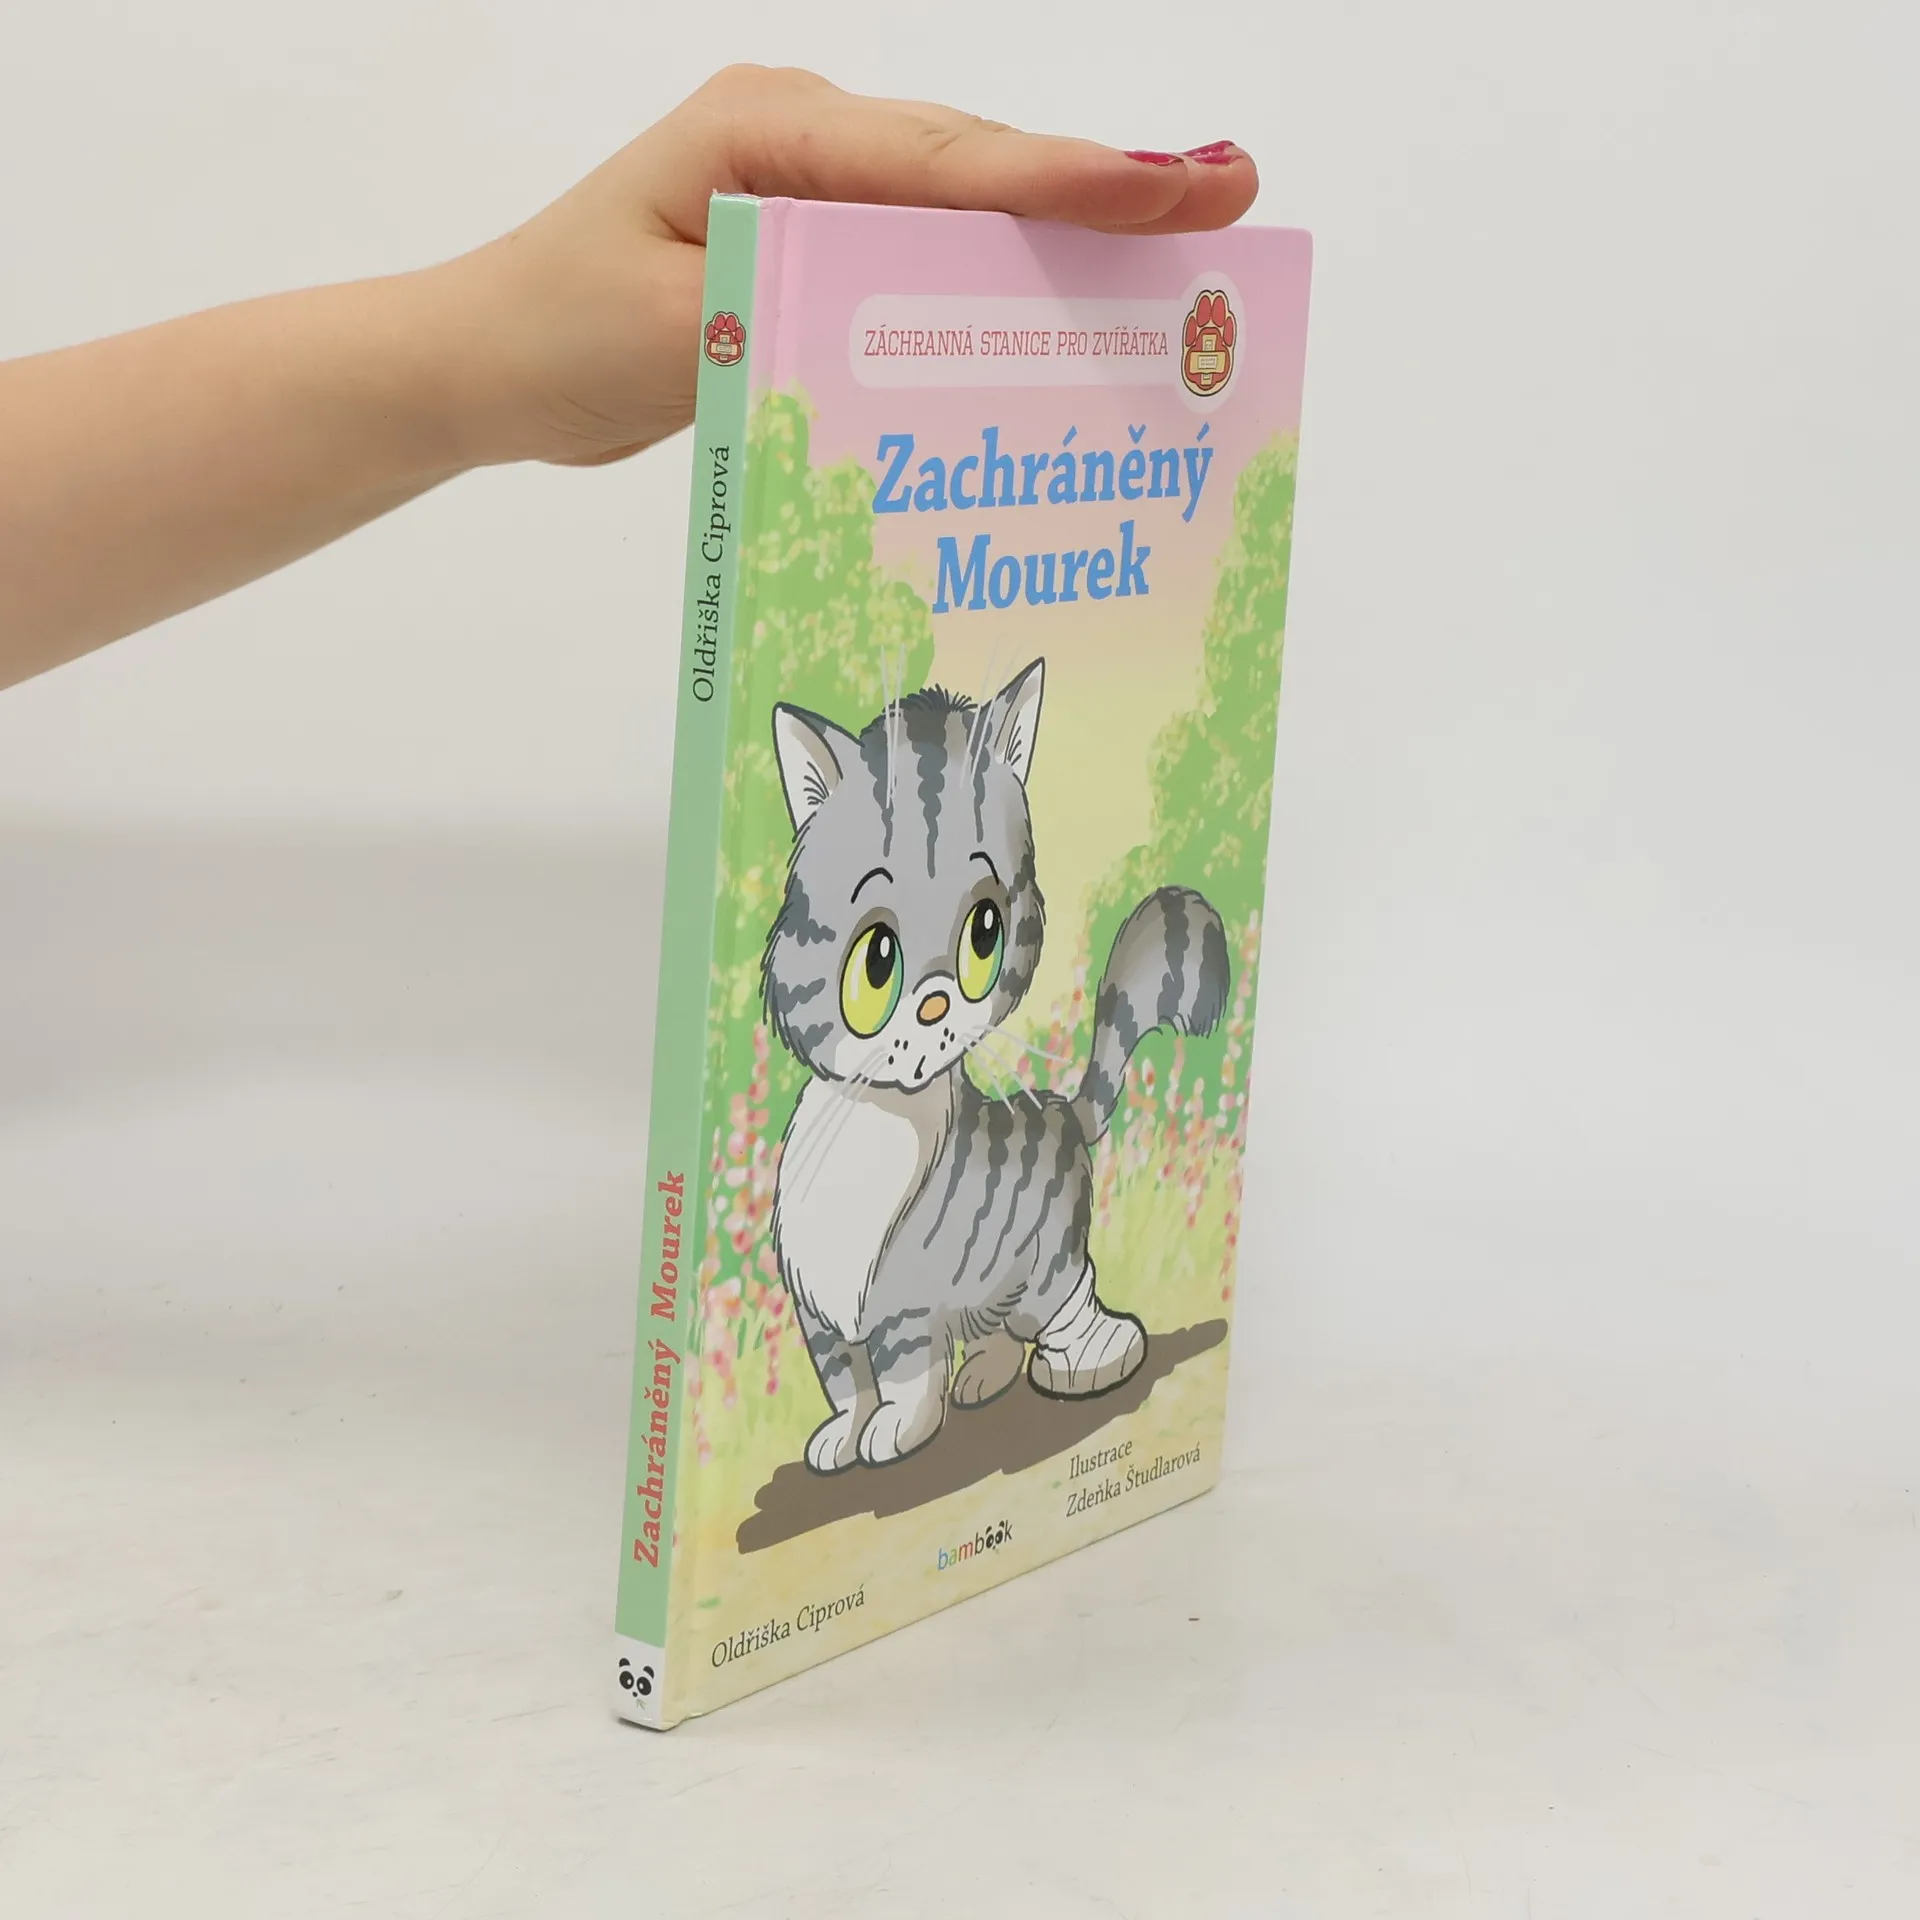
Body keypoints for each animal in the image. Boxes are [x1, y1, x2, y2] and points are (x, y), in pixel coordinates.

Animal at [763, 658, 1230, 1471]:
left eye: (985, 932)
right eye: (875, 961)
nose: (933, 1006)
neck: (870, 1117)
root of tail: (1060, 1109)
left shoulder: (904, 1301)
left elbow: (902, 1372)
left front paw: (897, 1429)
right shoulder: (820, 1311)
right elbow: (842, 1379)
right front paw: (842, 1435)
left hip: (1042, 1260)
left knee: (1065, 1297)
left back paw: (1091, 1358)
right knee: (996, 1330)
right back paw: (984, 1375)